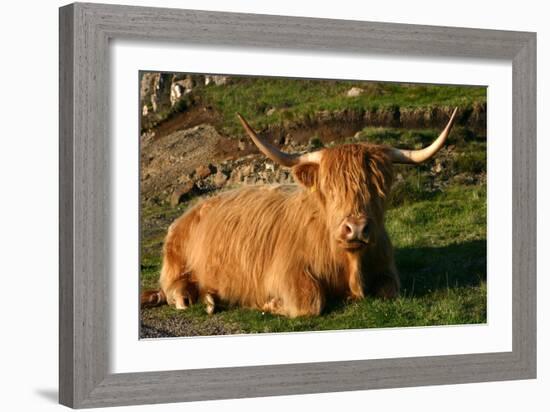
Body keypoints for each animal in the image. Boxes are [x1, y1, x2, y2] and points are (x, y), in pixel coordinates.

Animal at [140, 108, 460, 318]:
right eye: (329, 188)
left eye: (379, 186)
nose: (356, 228)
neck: (349, 264)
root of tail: (189, 212)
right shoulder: (285, 273)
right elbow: (310, 302)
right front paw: (270, 304)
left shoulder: (387, 267)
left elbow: (390, 290)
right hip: (175, 263)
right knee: (175, 291)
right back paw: (197, 299)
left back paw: (211, 298)